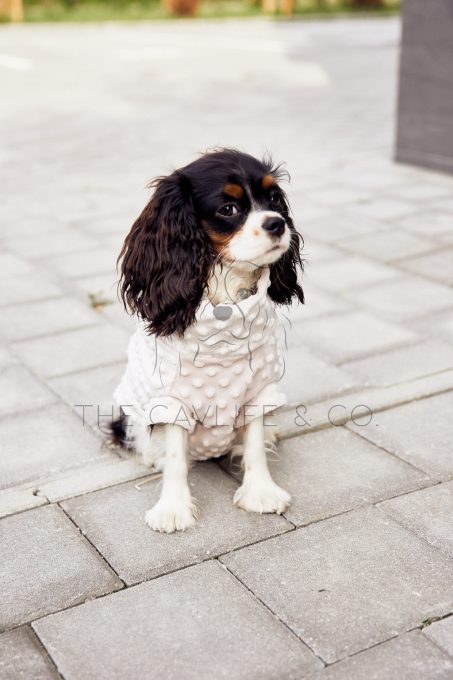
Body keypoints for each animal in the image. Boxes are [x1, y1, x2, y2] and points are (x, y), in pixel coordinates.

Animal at [108, 147, 304, 532]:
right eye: (228, 209)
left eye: (274, 199)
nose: (277, 223)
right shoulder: (169, 400)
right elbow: (174, 455)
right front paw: (173, 509)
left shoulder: (259, 390)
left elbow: (255, 441)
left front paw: (261, 492)